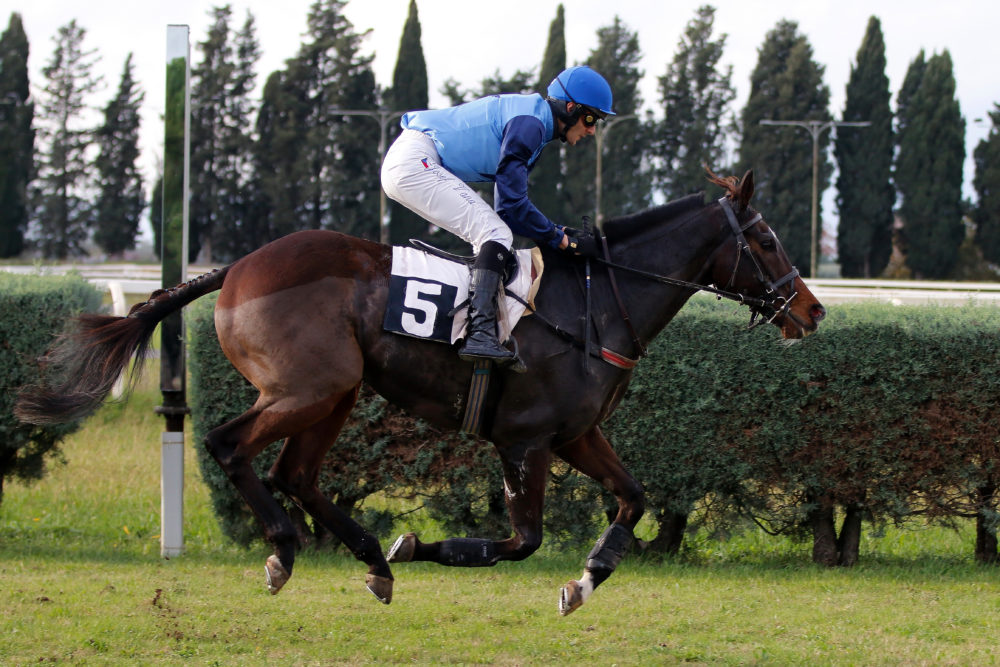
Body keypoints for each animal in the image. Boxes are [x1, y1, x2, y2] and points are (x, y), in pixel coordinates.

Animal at [17, 168, 828, 616]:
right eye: (765, 240)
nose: (813, 310)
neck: (595, 300)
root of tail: (237, 266)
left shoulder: (575, 433)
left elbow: (632, 498)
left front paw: (586, 580)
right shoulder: (526, 439)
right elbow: (519, 539)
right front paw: (415, 544)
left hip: (338, 392)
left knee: (296, 472)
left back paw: (370, 559)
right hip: (309, 386)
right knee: (231, 445)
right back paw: (288, 549)